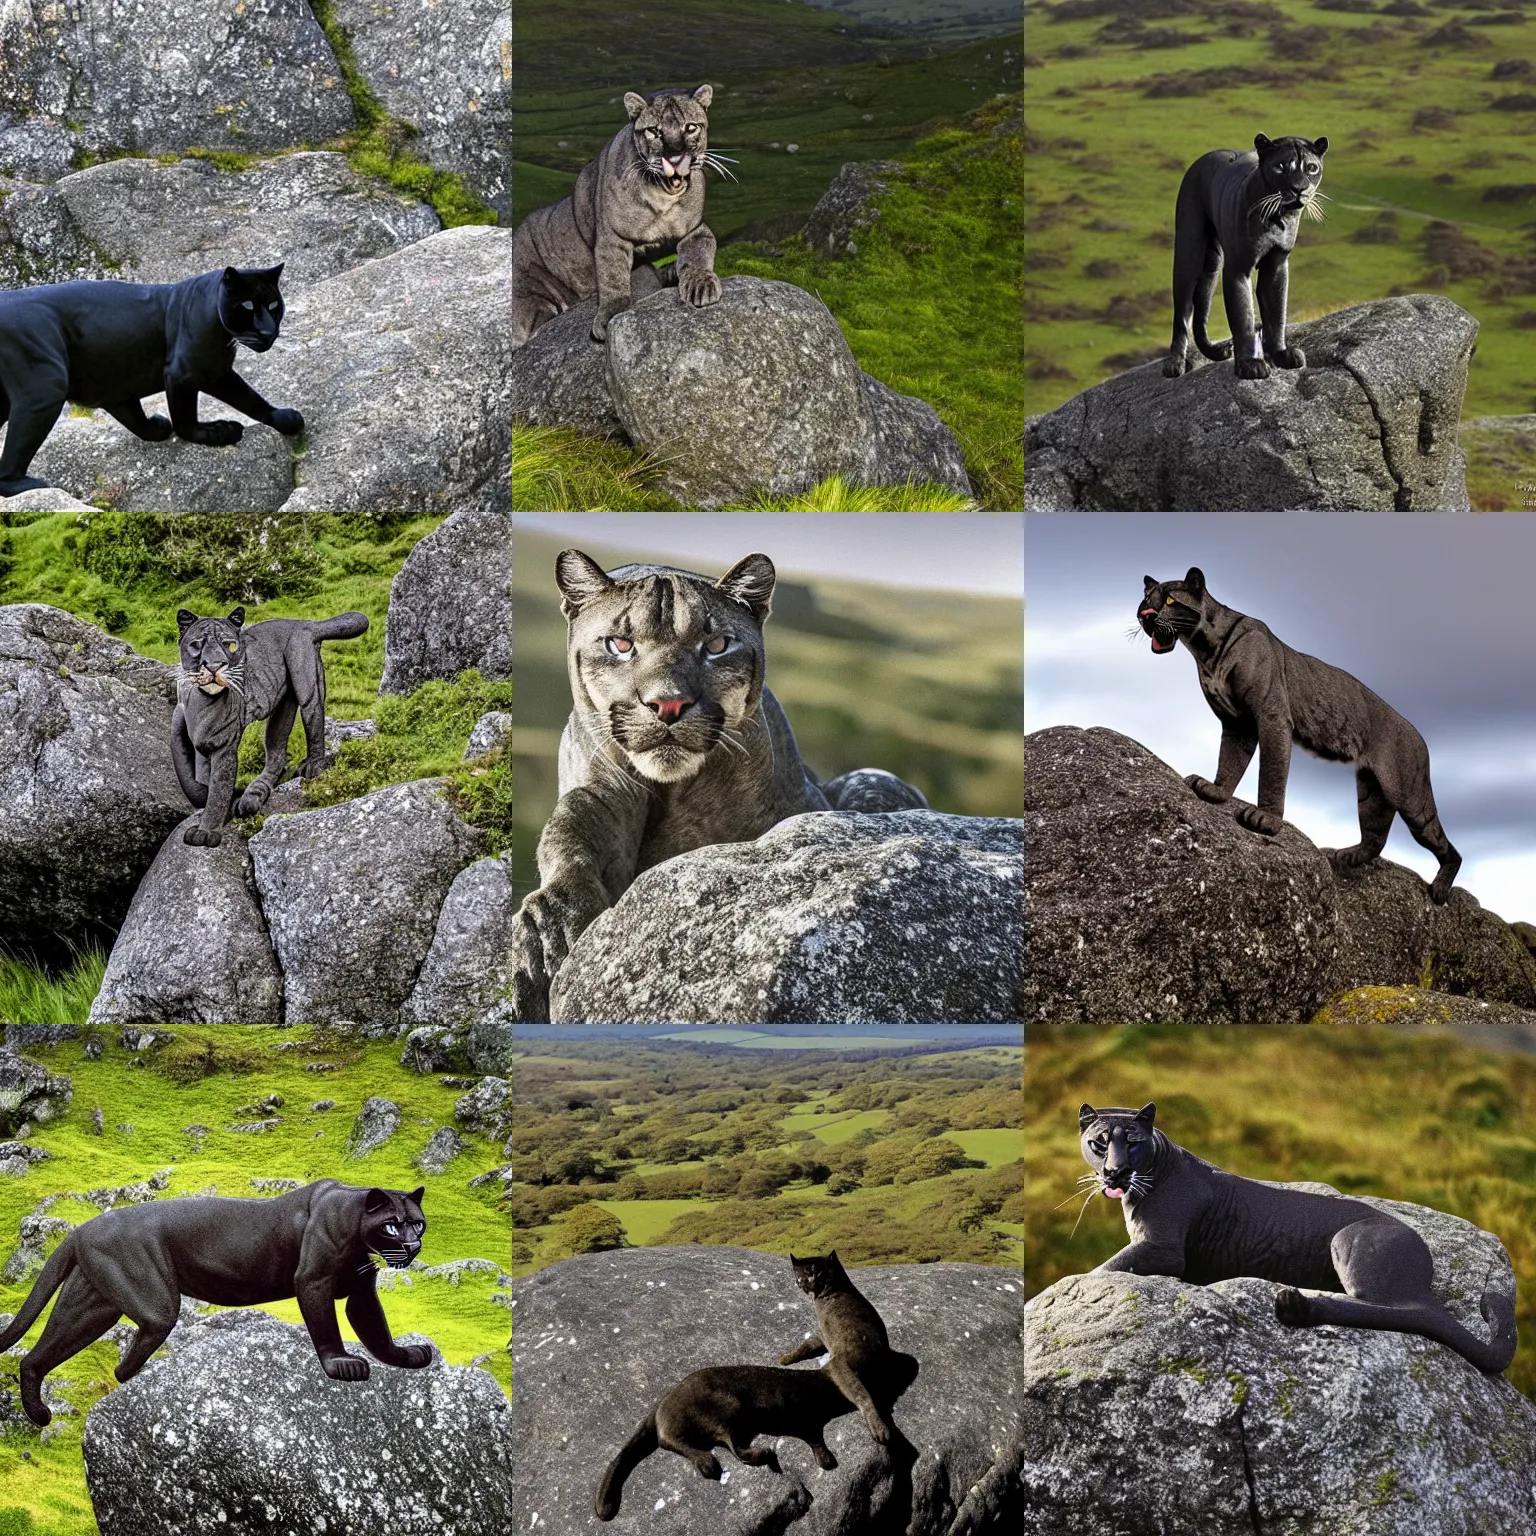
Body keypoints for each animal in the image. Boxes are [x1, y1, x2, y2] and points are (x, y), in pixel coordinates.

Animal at [170, 605, 368, 847]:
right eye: (196, 645)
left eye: (230, 645)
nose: (215, 666)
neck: (203, 700)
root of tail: (304, 622)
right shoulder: (185, 725)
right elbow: (189, 777)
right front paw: (218, 802)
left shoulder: (224, 745)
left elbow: (218, 788)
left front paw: (207, 831)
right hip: (283, 706)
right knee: (277, 753)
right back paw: (253, 795)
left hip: (306, 685)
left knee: (314, 722)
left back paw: (312, 766)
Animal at [509, 86, 724, 348]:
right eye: (654, 131)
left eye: (691, 127)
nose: (675, 157)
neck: (663, 197)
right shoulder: (612, 239)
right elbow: (613, 278)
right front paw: (611, 315)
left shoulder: (696, 229)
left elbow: (698, 254)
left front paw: (700, 287)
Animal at [509, 552, 927, 1019]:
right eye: (619, 644)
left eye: (716, 646)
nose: (667, 704)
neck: (672, 792)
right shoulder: (601, 792)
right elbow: (569, 824)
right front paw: (551, 928)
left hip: (872, 781)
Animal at [1075, 1112, 1517, 1376]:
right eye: (1100, 1143)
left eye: (1132, 1143)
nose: (1115, 1171)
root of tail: (1424, 1271)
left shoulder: (1163, 1248)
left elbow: (1099, 1270)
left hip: (1352, 1244)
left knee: (1403, 1313)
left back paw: (1296, 1304)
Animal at [1142, 565, 1449, 897]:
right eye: (1146, 598)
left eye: (1170, 600)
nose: (1144, 614)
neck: (1204, 648)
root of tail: (1419, 735)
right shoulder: (1237, 722)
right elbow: (1230, 760)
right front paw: (1216, 791)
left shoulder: (1271, 716)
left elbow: (1272, 771)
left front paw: (1265, 819)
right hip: (1371, 793)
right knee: (1376, 836)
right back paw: (1350, 856)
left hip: (1409, 798)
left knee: (1445, 845)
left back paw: (1441, 888)